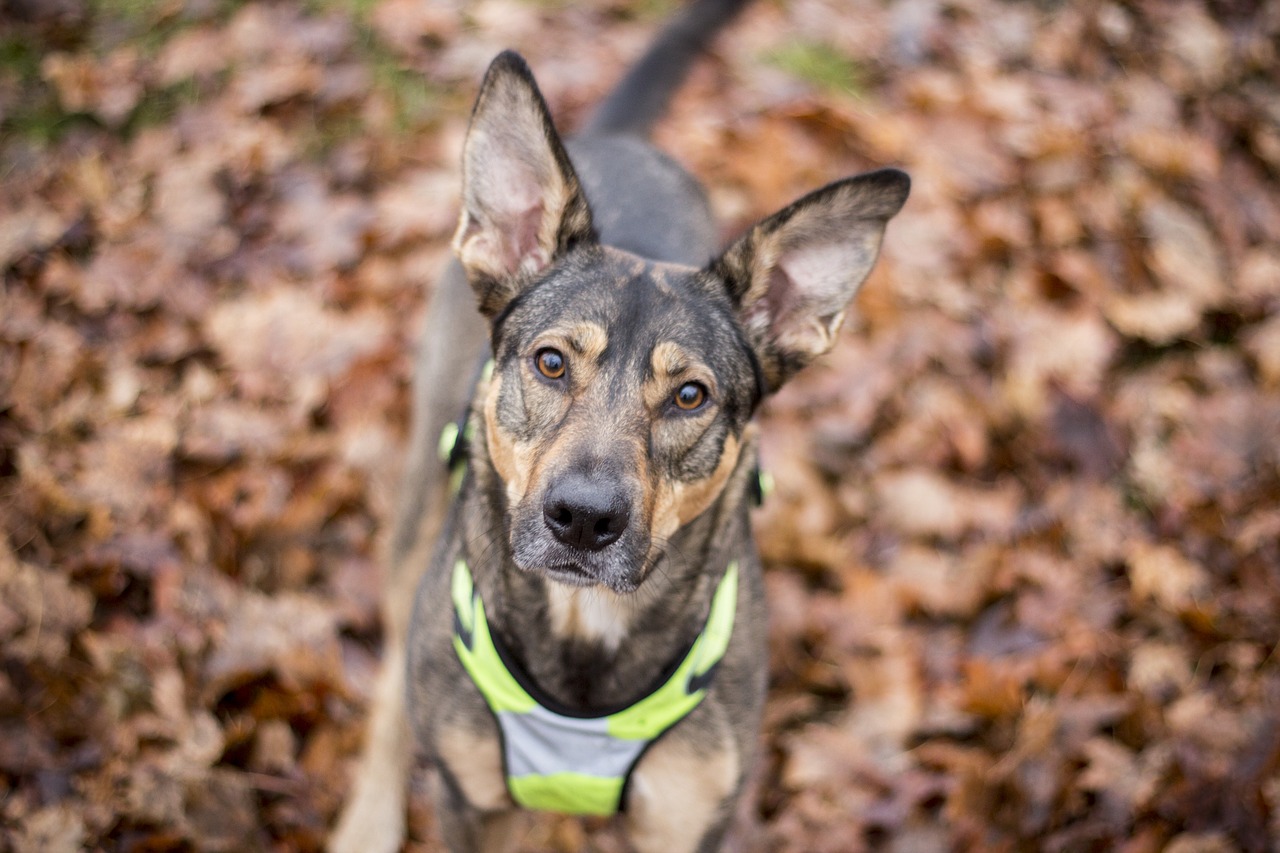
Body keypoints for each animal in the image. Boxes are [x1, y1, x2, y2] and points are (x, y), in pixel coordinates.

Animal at [330, 3, 911, 845]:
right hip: (416, 520)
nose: (582, 519)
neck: (586, 637)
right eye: (549, 362)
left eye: (691, 396)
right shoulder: (471, 804)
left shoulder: (685, 821)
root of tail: (619, 138)